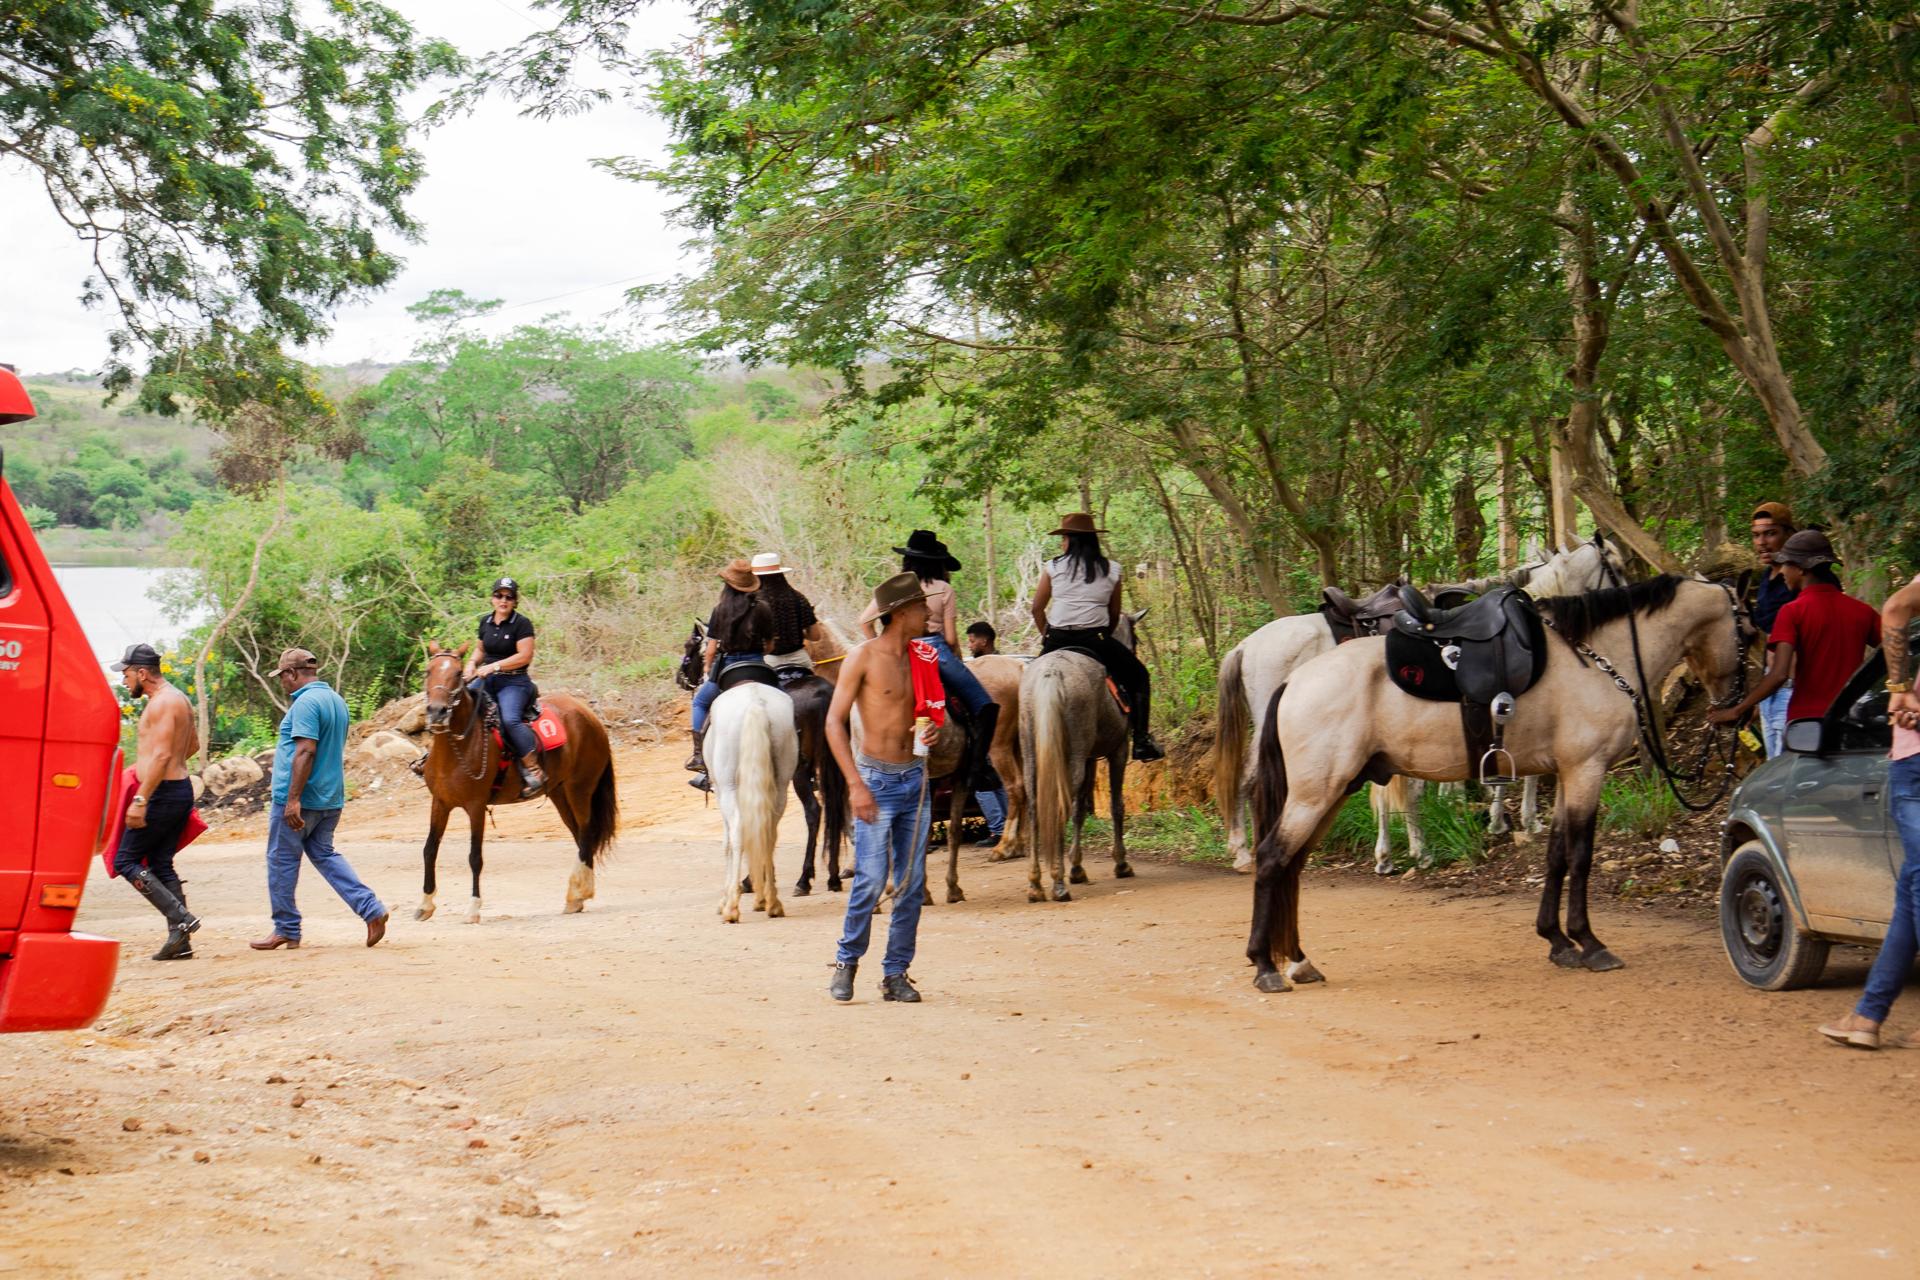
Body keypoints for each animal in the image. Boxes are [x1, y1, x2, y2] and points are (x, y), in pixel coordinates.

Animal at [415, 644, 619, 924]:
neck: (459, 747)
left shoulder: (476, 806)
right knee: (579, 834)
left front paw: (473, 909)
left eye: (457, 673)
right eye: (428, 671)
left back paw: (578, 893)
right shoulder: (441, 803)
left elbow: (475, 857)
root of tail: (589, 715)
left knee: (586, 832)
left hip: (580, 788)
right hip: (560, 793)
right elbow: (429, 850)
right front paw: (425, 904)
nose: (437, 712)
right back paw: (576, 898)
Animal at [707, 682, 799, 923]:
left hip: (728, 788)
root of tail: (755, 702)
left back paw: (732, 907)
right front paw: (759, 898)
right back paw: (773, 903)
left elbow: (727, 843)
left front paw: (725, 899)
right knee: (768, 833)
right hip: (780, 786)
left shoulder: (719, 791)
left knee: (738, 833)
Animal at [1019, 609, 1148, 903]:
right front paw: (1120, 863)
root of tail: (1051, 672)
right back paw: (1058, 882)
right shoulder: (1118, 751)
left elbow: (1080, 809)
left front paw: (1077, 866)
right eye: (1135, 638)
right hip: (1075, 754)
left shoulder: (1089, 758)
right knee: (1060, 802)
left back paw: (1035, 883)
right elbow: (1115, 806)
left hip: (1032, 753)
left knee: (1034, 806)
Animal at [1244, 575, 1747, 992]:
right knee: (1271, 859)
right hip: (1315, 795)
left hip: (1328, 794)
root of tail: (1294, 682)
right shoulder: (1587, 770)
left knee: (1292, 866)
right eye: (1748, 630)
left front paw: (1557, 940)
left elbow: (1556, 854)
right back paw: (1266, 966)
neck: (1594, 659)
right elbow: (1580, 856)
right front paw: (1589, 942)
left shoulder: (1567, 774)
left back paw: (1297, 960)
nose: (1734, 707)